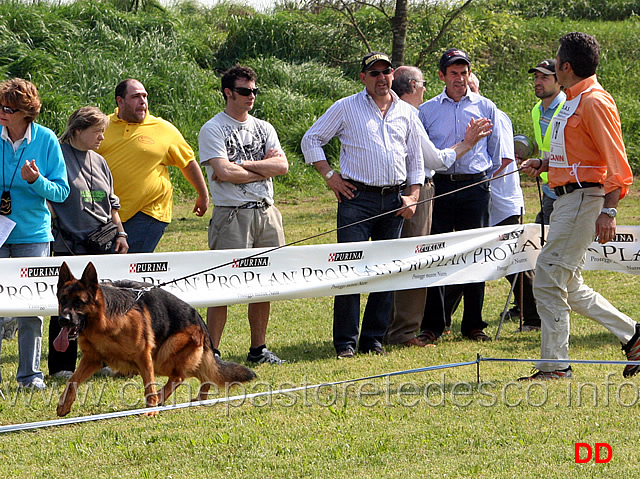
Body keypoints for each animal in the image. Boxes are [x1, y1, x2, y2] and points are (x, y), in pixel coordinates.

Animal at [55, 262, 255, 416]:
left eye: (79, 302)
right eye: (62, 300)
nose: (62, 320)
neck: (104, 322)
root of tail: (201, 323)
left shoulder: (144, 356)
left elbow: (149, 385)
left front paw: (151, 409)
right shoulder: (92, 359)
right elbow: (72, 380)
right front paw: (64, 404)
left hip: (164, 355)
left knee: (180, 376)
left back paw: (162, 397)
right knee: (203, 373)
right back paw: (200, 398)